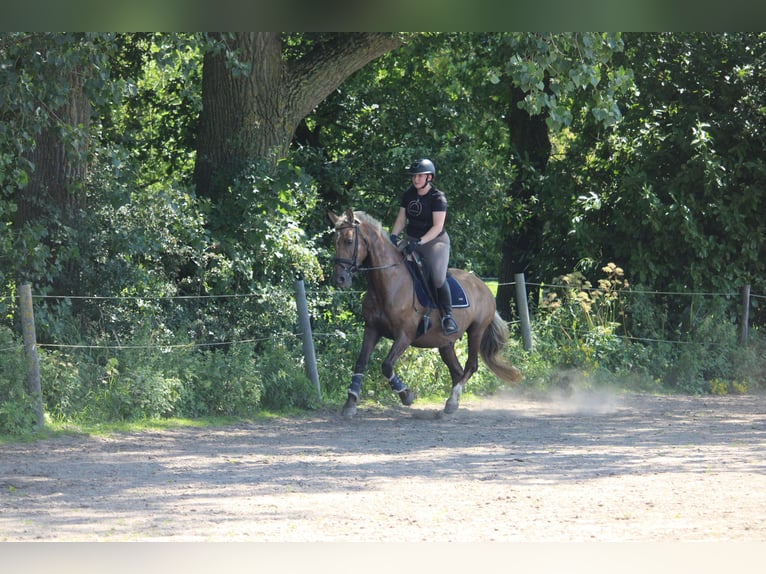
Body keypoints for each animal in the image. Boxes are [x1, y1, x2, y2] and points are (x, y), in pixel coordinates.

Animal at [330, 207, 520, 418]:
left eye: (348, 240)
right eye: (334, 241)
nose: (340, 279)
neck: (389, 283)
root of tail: (483, 287)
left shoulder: (404, 335)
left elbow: (386, 365)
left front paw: (406, 395)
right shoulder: (372, 329)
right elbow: (361, 362)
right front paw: (350, 403)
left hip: (476, 331)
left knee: (470, 366)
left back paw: (452, 401)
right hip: (445, 343)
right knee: (457, 371)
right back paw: (451, 404)